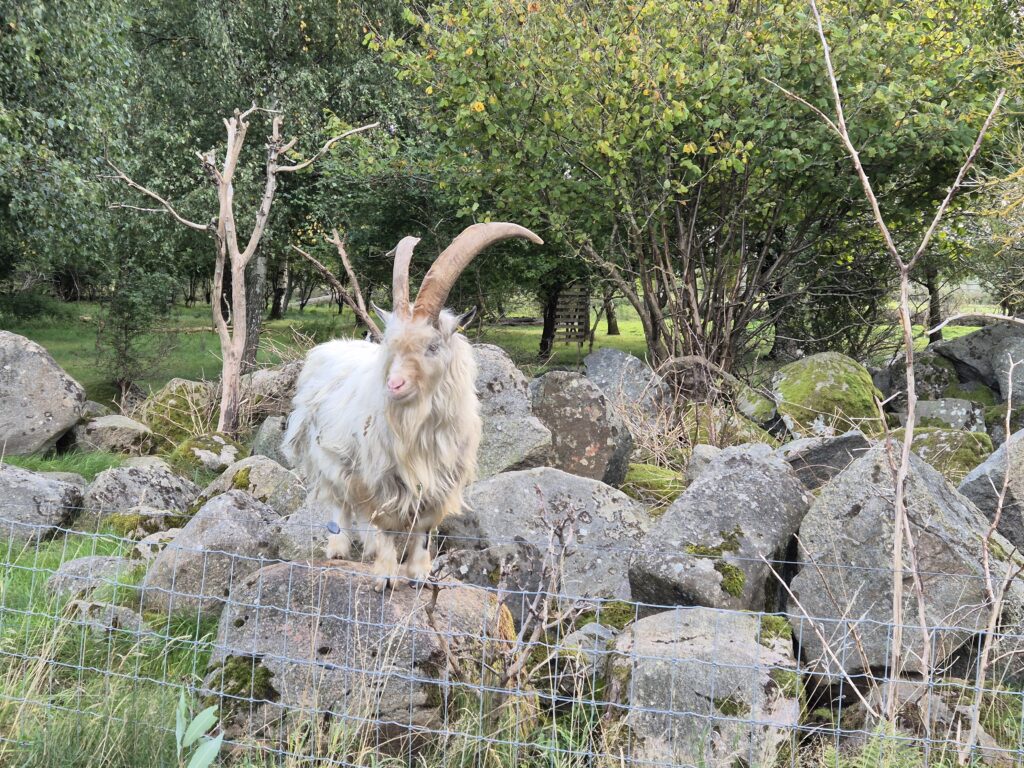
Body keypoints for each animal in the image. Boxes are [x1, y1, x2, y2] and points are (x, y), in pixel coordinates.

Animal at [280, 221, 544, 589]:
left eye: (432, 346)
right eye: (392, 345)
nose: (394, 385)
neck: (418, 428)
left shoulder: (439, 479)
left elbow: (424, 526)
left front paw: (419, 573)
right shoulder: (382, 475)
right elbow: (386, 523)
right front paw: (386, 575)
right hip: (329, 457)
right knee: (341, 503)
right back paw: (339, 547)